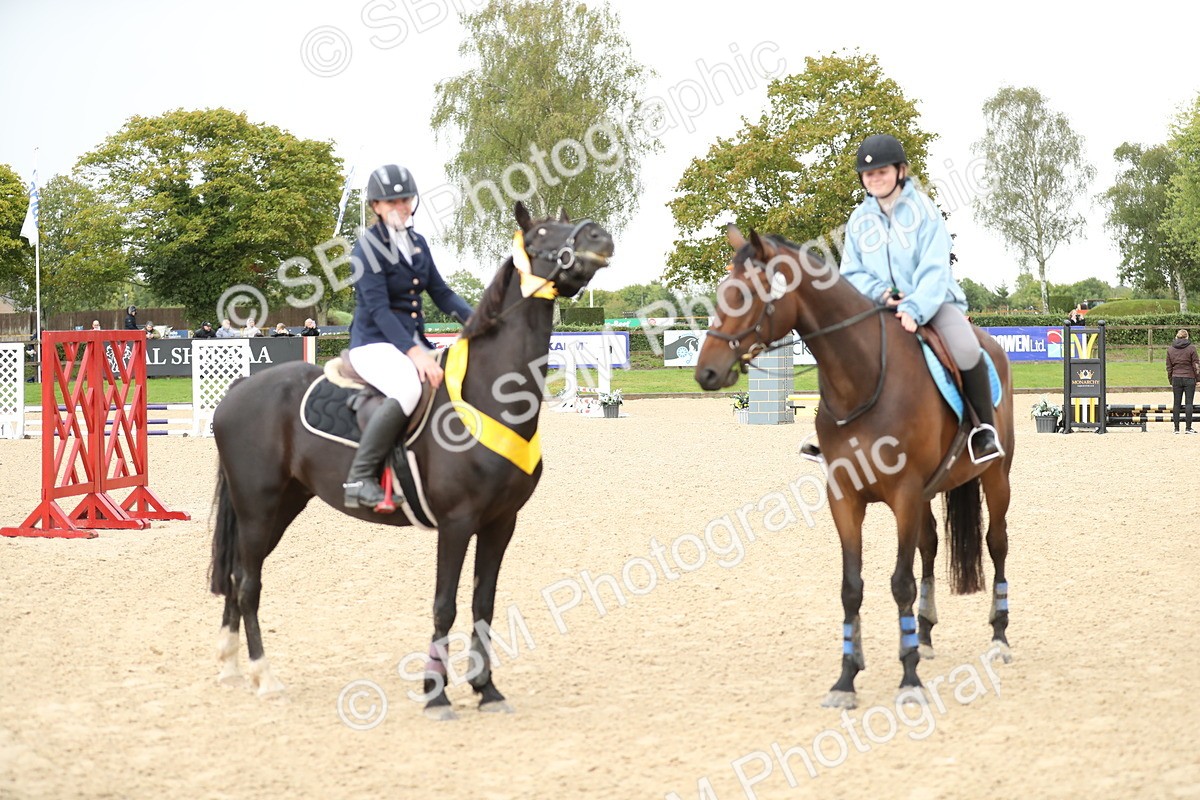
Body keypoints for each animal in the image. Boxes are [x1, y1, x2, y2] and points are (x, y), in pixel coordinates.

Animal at [208, 203, 613, 718]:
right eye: (542, 233)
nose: (600, 237)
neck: (488, 394)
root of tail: (240, 388)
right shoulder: (457, 523)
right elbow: (445, 605)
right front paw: (436, 694)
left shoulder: (501, 523)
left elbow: (483, 603)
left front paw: (486, 689)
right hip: (257, 508)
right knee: (249, 585)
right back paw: (264, 677)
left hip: (281, 506)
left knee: (239, 576)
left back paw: (230, 667)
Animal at [694, 227, 1015, 709]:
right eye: (721, 293)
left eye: (748, 295)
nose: (707, 373)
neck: (862, 377)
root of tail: (990, 343)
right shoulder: (845, 497)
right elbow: (852, 586)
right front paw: (847, 677)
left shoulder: (903, 495)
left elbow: (899, 583)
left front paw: (908, 678)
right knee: (930, 547)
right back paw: (924, 635)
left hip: (995, 478)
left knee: (997, 545)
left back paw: (998, 636)